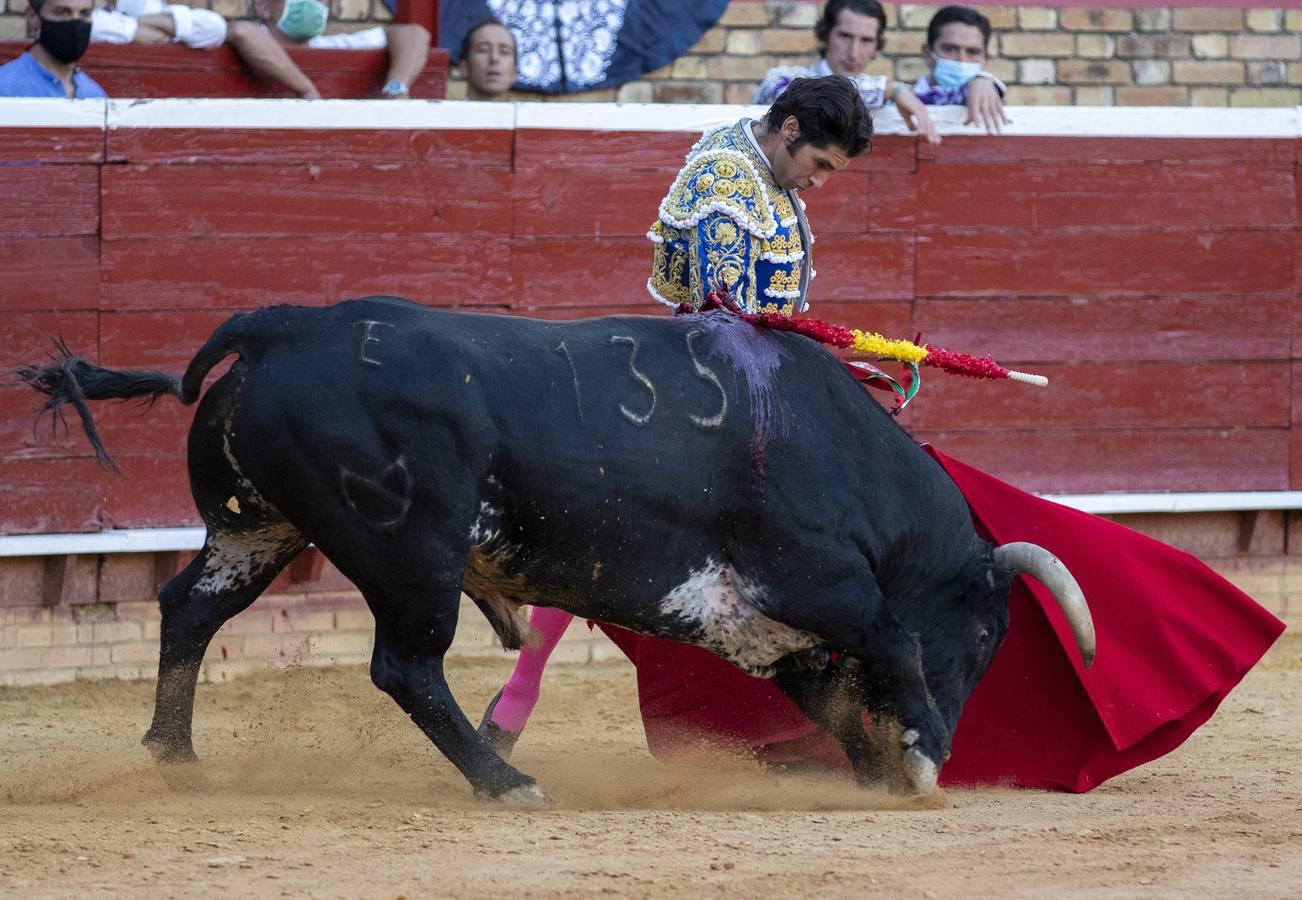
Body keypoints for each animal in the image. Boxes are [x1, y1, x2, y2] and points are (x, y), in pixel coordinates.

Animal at [20, 299, 1093, 807]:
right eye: (988, 634)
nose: (959, 725)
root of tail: (284, 327)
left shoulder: (752, 623)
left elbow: (832, 695)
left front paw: (873, 770)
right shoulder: (822, 583)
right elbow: (894, 648)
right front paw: (919, 762)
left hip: (258, 527)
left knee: (188, 610)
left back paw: (178, 760)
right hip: (412, 553)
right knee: (405, 666)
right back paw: (508, 784)